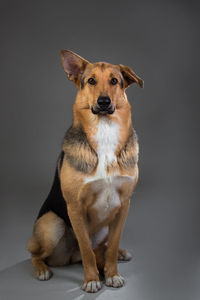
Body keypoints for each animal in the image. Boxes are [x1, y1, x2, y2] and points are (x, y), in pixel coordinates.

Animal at [27, 49, 144, 292]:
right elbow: (86, 250)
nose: (104, 101)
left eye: (114, 81)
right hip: (51, 224)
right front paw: (91, 279)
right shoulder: (75, 207)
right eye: (91, 81)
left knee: (102, 247)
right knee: (36, 253)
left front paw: (112, 273)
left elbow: (111, 246)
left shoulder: (124, 204)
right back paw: (42, 269)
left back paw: (119, 254)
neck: (105, 132)